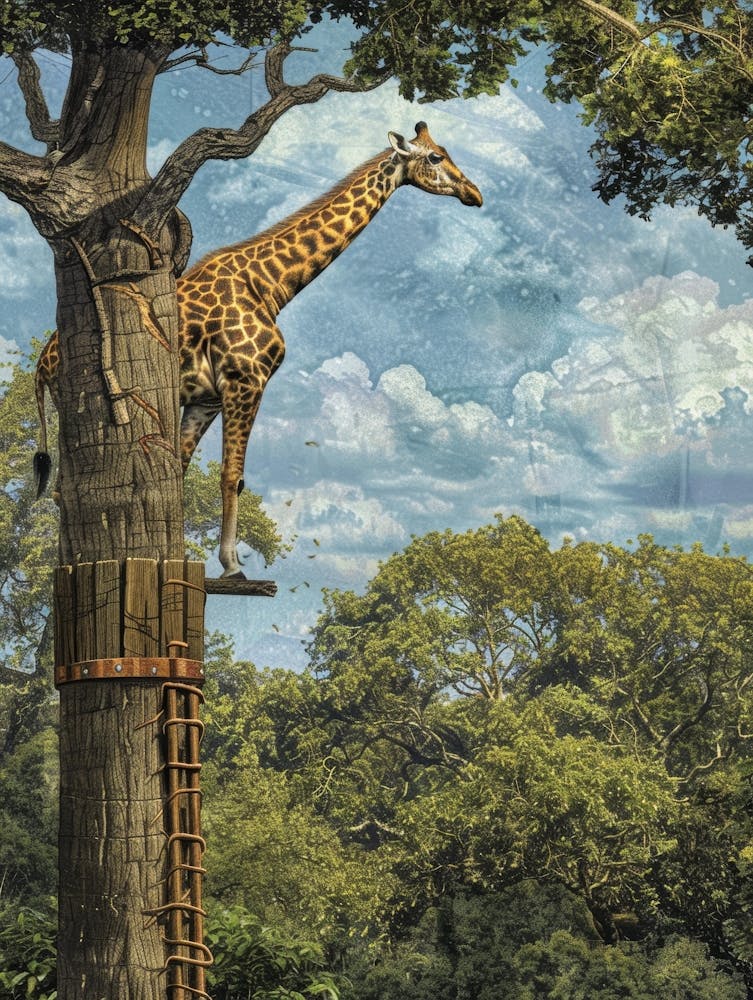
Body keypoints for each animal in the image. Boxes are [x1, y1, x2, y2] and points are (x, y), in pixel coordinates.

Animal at [35, 122, 483, 577]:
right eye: (435, 157)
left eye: (444, 151)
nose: (475, 194)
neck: (271, 285)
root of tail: (42, 363)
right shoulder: (245, 381)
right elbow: (233, 475)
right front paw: (232, 566)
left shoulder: (207, 399)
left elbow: (182, 470)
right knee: (68, 488)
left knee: (62, 489)